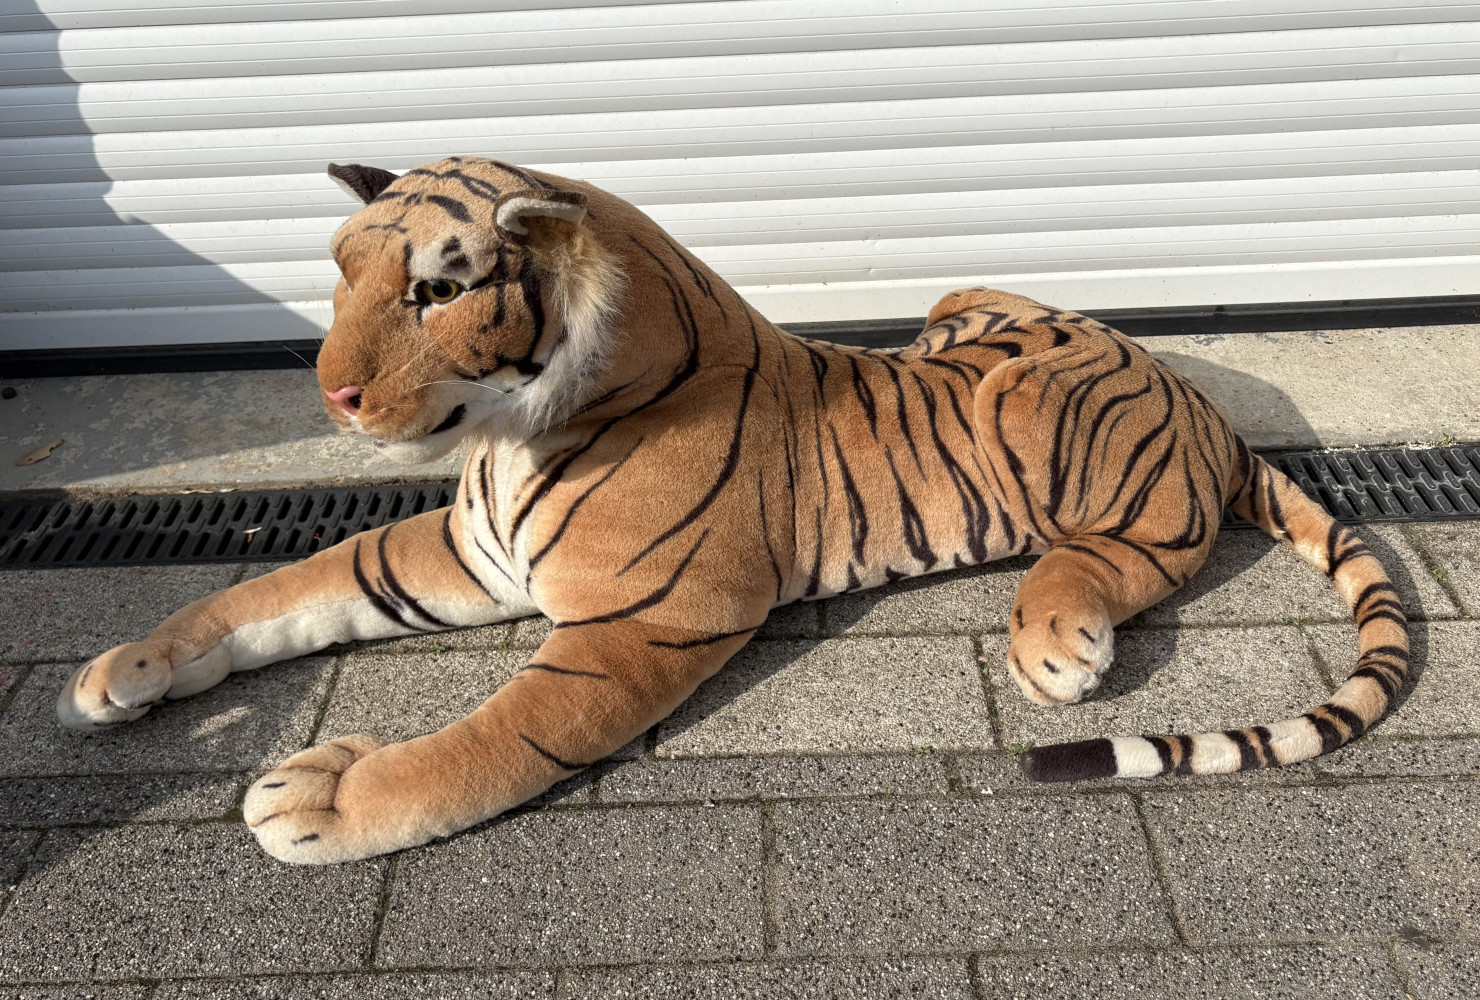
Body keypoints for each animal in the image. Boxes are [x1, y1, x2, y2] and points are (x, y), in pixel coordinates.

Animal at [56, 157, 1409, 865]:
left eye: (436, 291)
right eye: (339, 272)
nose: (331, 393)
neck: (510, 427)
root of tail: (1203, 397)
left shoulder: (632, 627)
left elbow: (484, 745)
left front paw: (324, 796)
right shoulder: (456, 553)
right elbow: (277, 591)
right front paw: (126, 668)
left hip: (1038, 409)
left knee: (1133, 549)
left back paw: (1056, 639)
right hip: (960, 304)